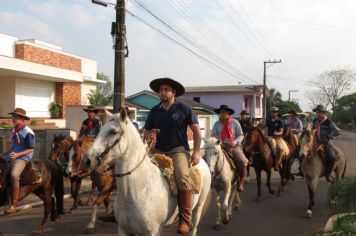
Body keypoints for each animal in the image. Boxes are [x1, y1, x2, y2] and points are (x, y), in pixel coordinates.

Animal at [82, 109, 211, 235]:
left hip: (199, 206)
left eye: (113, 131)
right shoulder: (123, 229)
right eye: (100, 129)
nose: (87, 160)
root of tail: (201, 160)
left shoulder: (153, 231)